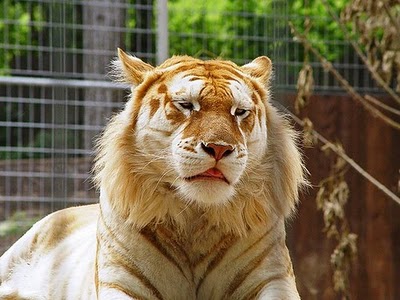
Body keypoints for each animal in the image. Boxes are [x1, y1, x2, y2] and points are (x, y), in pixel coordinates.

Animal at [0, 48, 306, 298]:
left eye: (240, 112)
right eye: (186, 105)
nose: (219, 148)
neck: (196, 217)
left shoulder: (273, 278)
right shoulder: (122, 281)